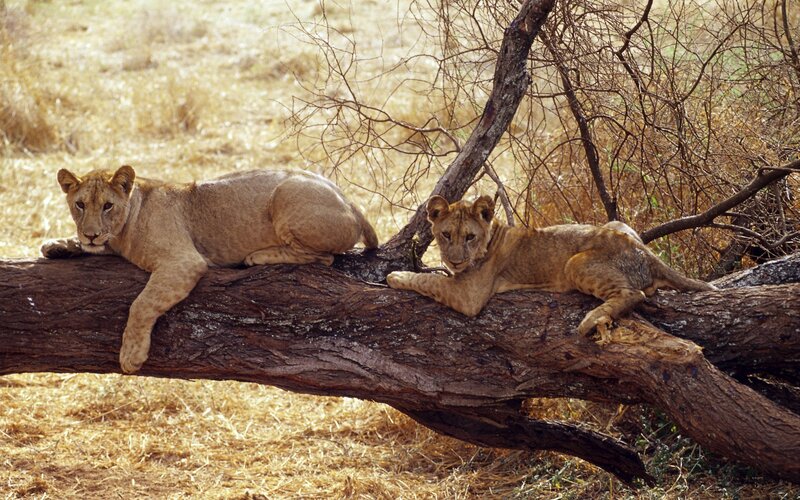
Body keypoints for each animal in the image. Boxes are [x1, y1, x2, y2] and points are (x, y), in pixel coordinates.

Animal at [42, 165, 379, 373]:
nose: (91, 234)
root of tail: (351, 203)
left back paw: (258, 256)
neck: (122, 230)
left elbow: (141, 304)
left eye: (107, 206)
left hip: (287, 194)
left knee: (325, 258)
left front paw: (131, 356)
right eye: (80, 205)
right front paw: (58, 245)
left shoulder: (183, 261)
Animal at [386, 195, 714, 337]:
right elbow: (437, 276)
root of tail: (644, 252)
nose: (456, 259)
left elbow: (428, 281)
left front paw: (396, 275)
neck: (491, 237)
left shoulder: (469, 296)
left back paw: (590, 321)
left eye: (469, 237)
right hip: (617, 224)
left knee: (635, 294)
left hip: (575, 263)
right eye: (446, 235)